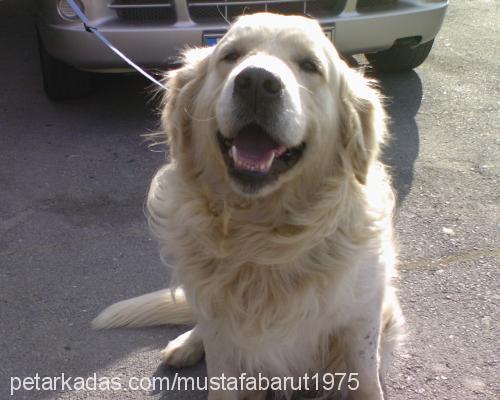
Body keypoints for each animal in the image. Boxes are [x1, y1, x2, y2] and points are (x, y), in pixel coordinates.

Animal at [94, 12, 406, 400]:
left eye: (310, 65)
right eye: (230, 56)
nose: (257, 82)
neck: (261, 234)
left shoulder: (361, 315)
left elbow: (364, 375)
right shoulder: (223, 329)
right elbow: (221, 373)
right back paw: (186, 344)